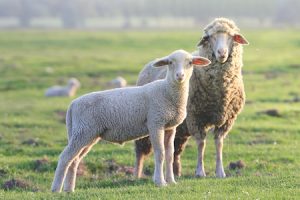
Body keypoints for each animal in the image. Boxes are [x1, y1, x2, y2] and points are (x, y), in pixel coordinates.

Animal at [51, 48, 211, 192]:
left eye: (190, 62)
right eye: (170, 63)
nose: (180, 75)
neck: (167, 92)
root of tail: (72, 105)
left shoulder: (170, 127)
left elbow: (170, 154)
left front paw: (171, 181)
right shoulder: (155, 122)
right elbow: (160, 153)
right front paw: (160, 182)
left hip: (87, 133)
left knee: (74, 160)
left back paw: (69, 189)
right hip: (83, 131)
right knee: (65, 157)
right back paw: (56, 189)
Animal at [135, 18, 250, 179]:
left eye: (232, 36)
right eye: (209, 37)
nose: (221, 53)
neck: (220, 92)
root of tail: (151, 63)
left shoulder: (226, 120)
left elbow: (219, 143)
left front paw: (220, 172)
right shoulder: (196, 117)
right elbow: (201, 144)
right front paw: (200, 172)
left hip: (179, 127)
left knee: (175, 149)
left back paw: (176, 172)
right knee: (140, 150)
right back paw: (137, 174)